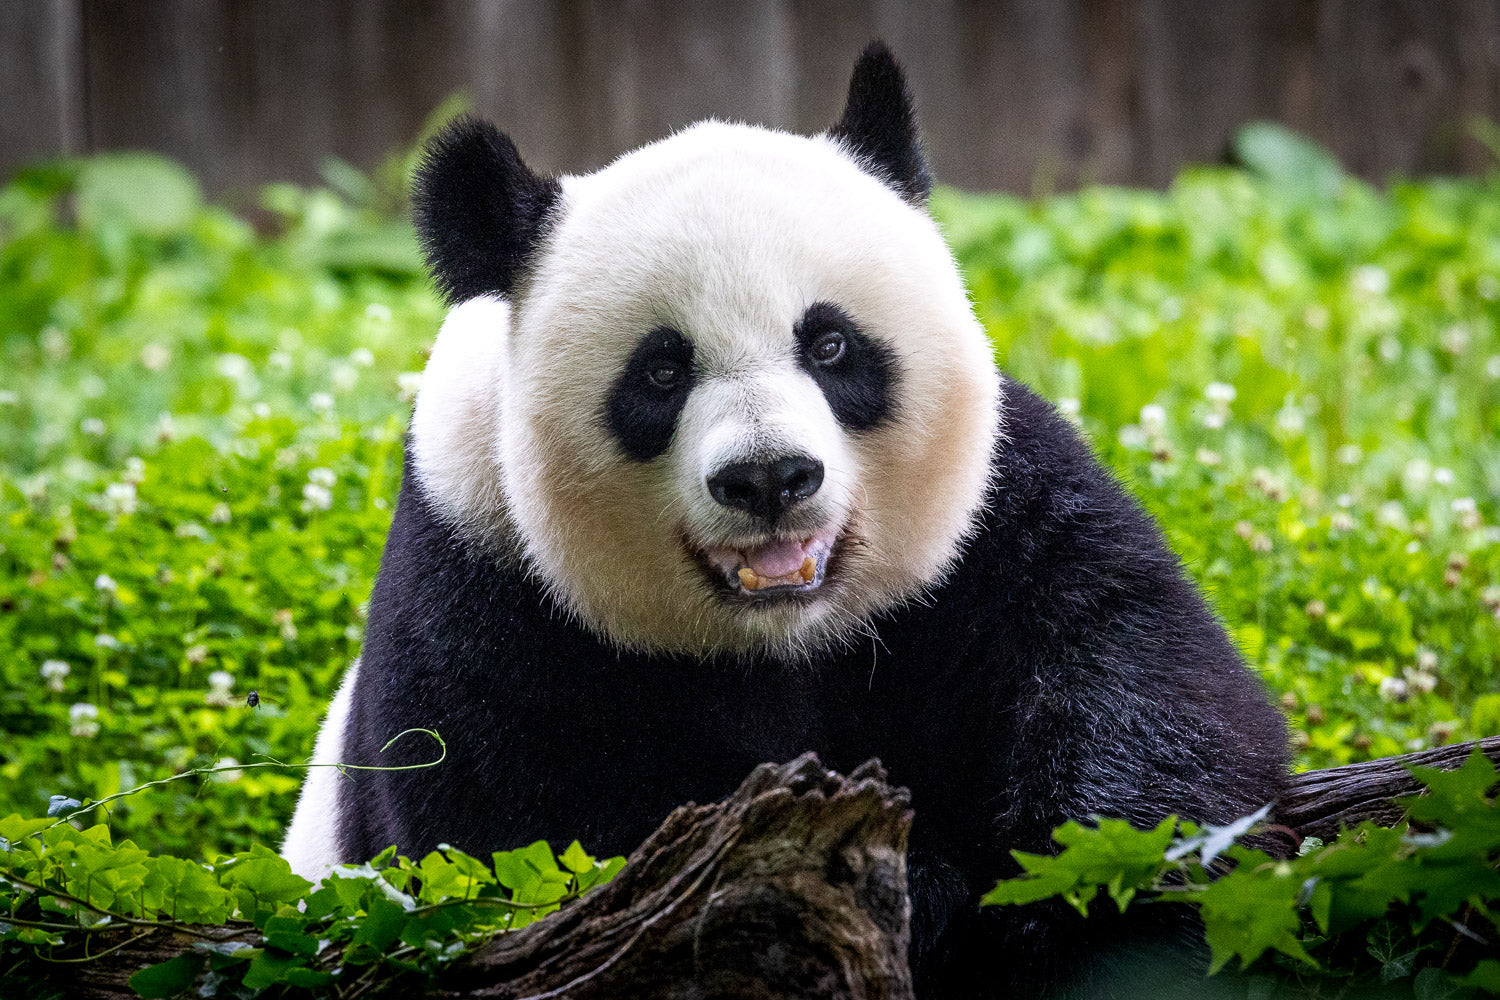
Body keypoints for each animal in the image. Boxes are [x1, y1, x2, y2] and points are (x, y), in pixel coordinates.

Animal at [283, 43, 1288, 997]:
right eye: (661, 371)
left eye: (831, 343)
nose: (769, 478)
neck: (781, 638)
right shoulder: (478, 569)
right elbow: (530, 825)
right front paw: (913, 889)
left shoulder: (999, 513)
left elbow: (1138, 676)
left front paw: (1086, 897)